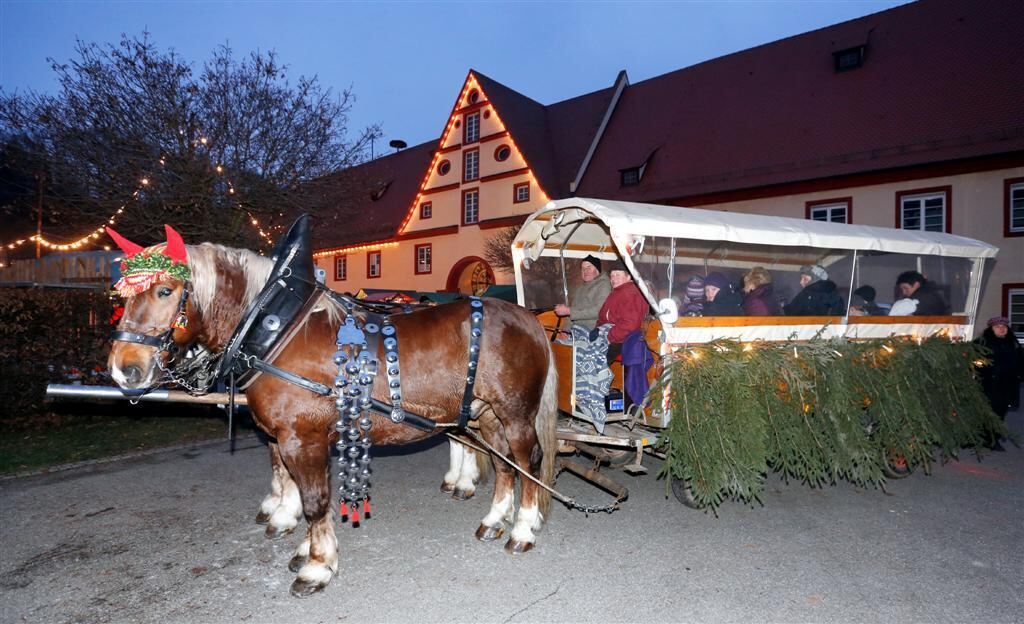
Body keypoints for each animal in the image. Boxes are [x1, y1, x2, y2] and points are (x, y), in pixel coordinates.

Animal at [108, 238, 557, 594]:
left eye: (165, 290)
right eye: (123, 299)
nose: (123, 368)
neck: (274, 331)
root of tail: (527, 317)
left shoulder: (302, 439)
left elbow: (314, 501)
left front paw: (317, 565)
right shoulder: (286, 439)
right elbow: (297, 490)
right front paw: (302, 543)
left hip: (515, 413)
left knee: (527, 460)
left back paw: (521, 529)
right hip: (486, 415)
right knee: (503, 465)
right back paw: (495, 519)